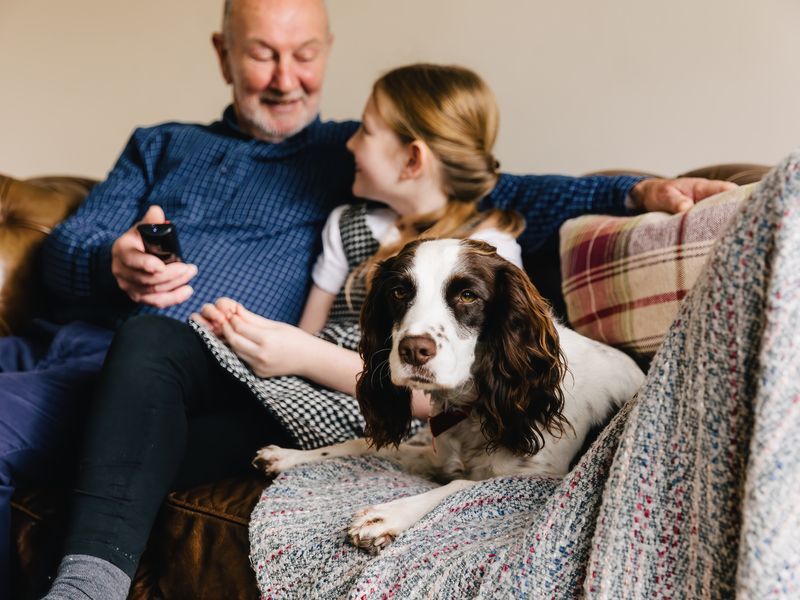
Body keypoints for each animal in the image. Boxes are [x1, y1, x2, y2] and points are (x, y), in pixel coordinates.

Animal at [253, 238, 648, 552]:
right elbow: (360, 444)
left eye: (468, 295)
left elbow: (460, 485)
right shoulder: (436, 455)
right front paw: (288, 456)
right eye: (399, 292)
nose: (414, 350)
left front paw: (387, 516)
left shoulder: (541, 477)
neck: (474, 405)